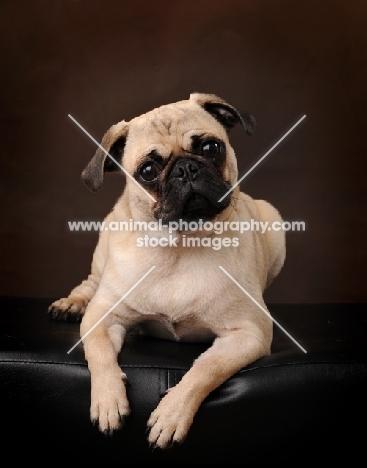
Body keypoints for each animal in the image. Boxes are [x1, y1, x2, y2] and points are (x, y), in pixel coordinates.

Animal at [47, 94, 288, 450]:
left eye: (211, 148)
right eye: (148, 171)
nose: (186, 168)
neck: (179, 246)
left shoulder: (249, 334)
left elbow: (206, 368)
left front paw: (172, 413)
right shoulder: (102, 317)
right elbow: (99, 354)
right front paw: (107, 401)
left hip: (273, 221)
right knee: (90, 283)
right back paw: (71, 303)